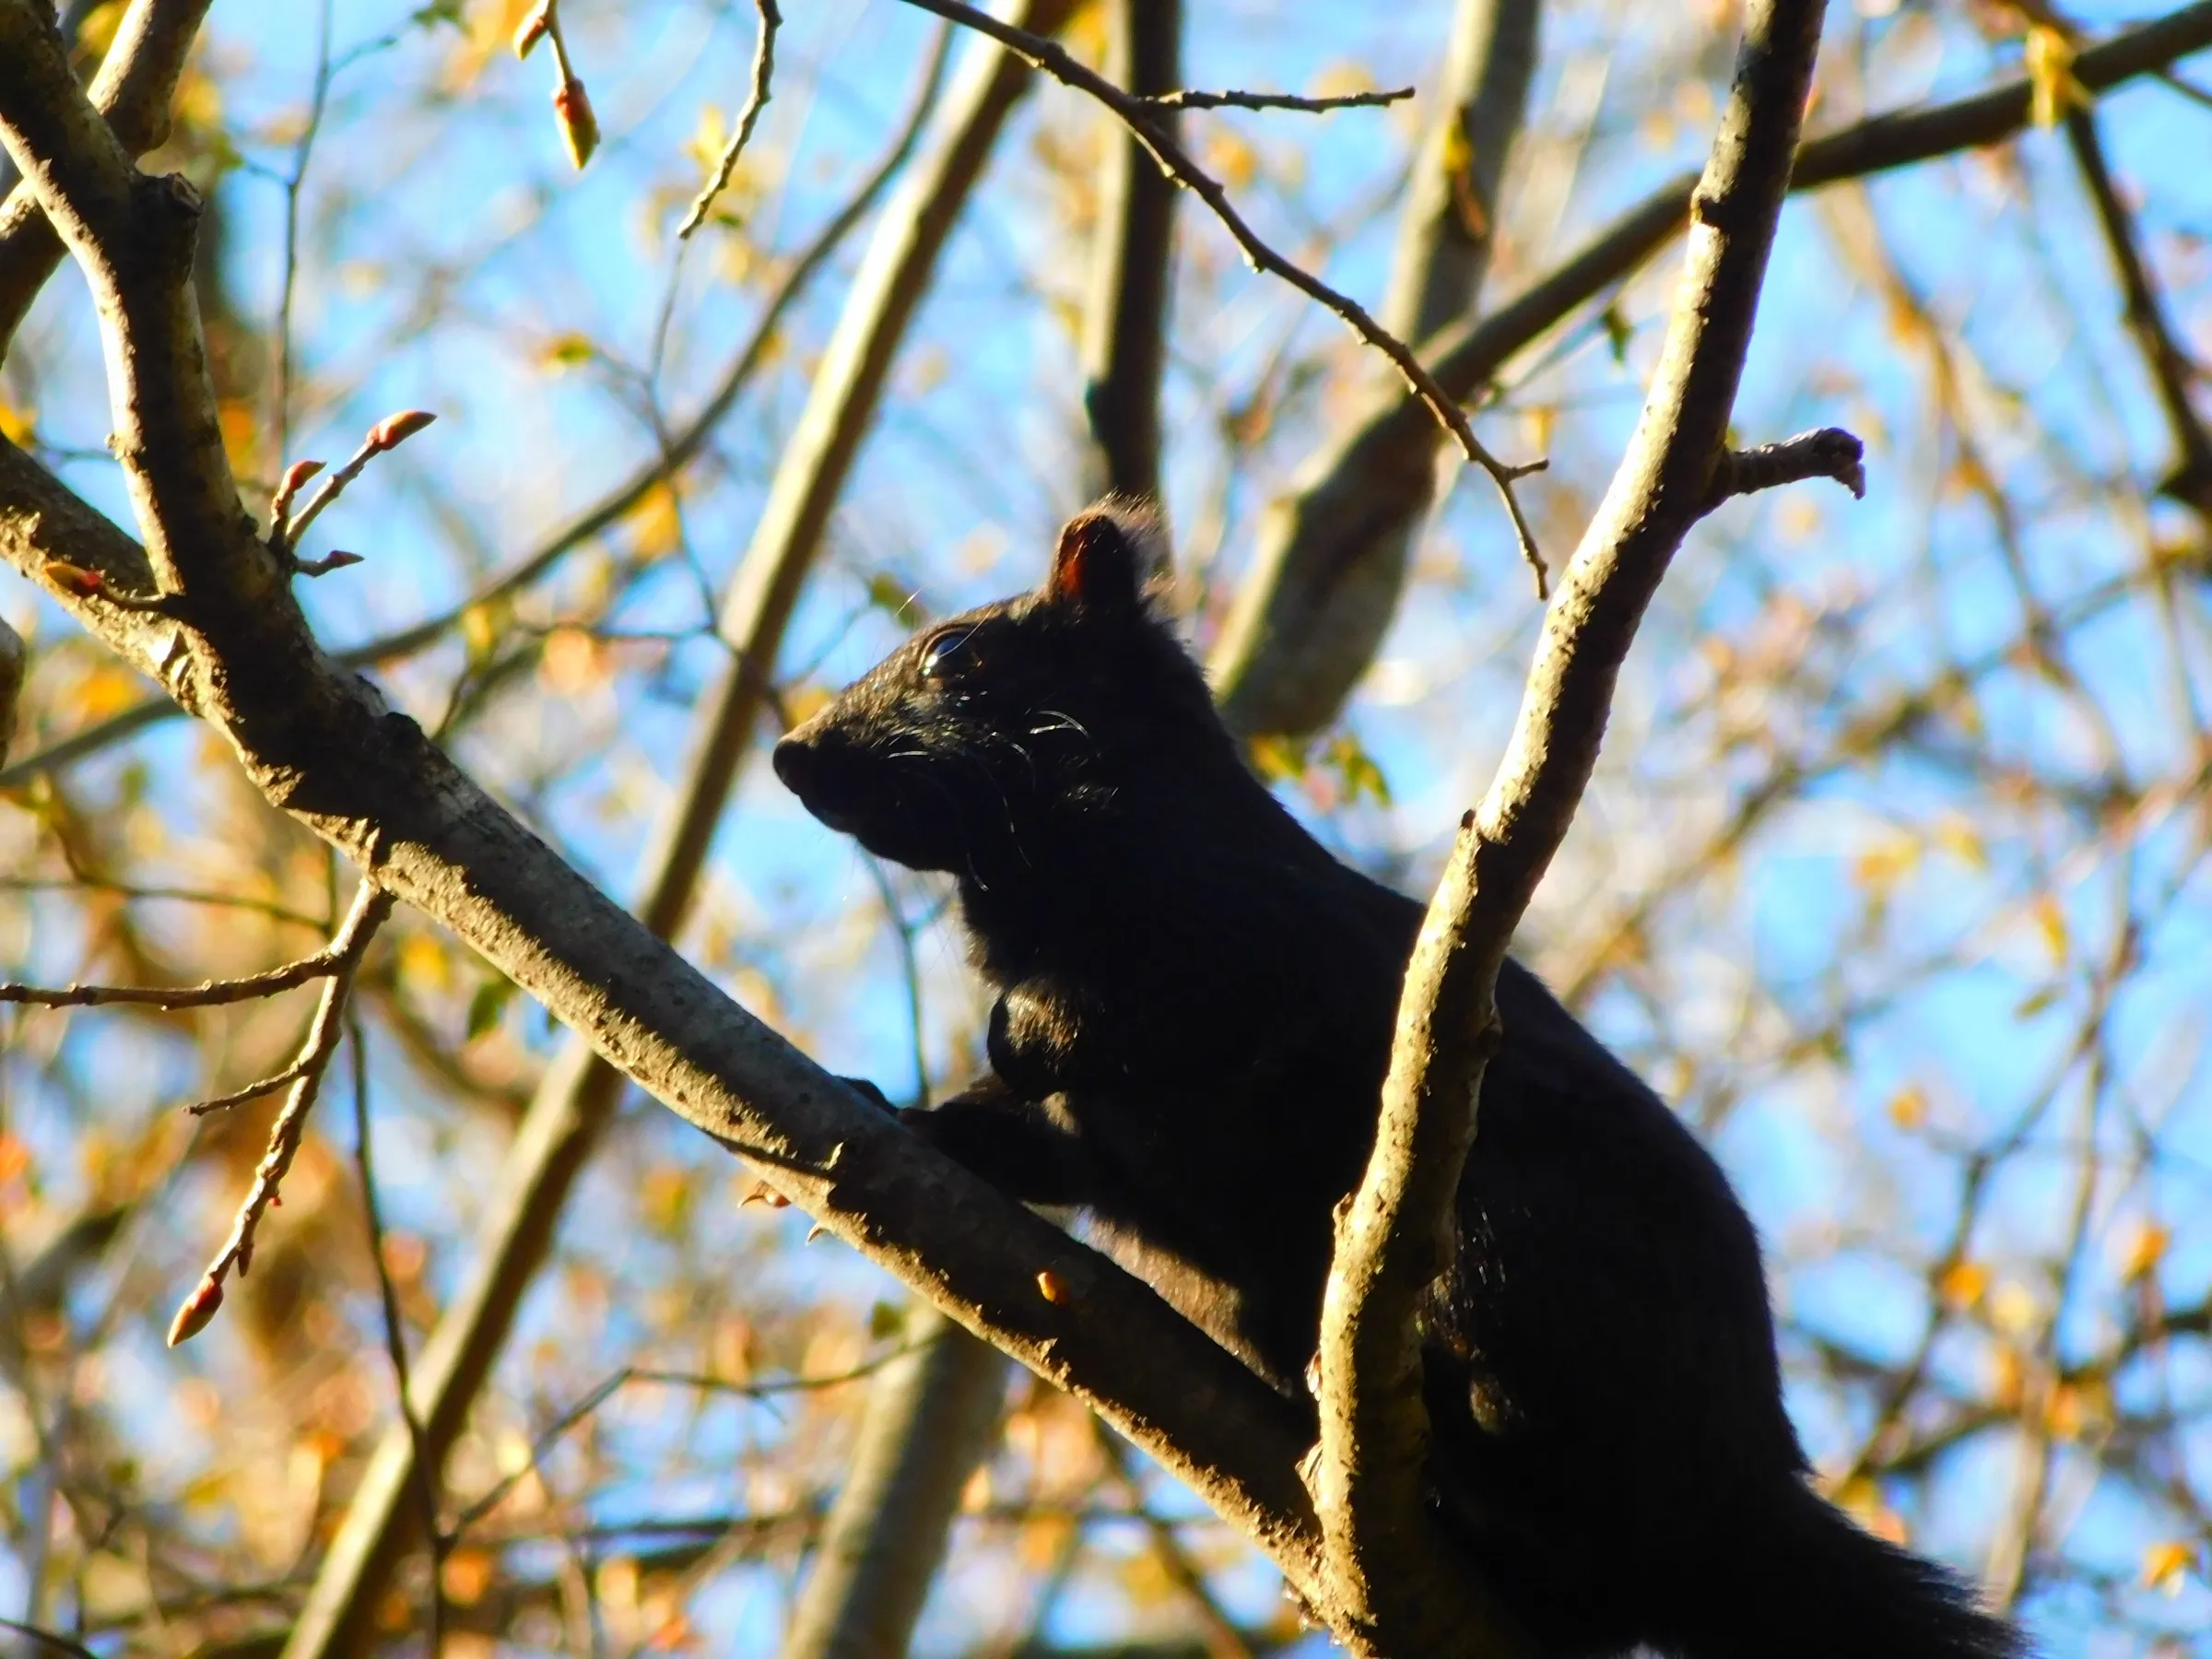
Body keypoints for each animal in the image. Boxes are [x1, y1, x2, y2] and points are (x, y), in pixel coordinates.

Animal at [772, 502, 2023, 1659]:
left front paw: (1017, 1030)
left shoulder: (1254, 946)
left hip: (1512, 1255)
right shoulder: (1098, 1126)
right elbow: (1034, 1139)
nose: (790, 758)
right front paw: (896, 1114)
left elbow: (1133, 1014)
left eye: (954, 654)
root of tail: (1737, 1503)